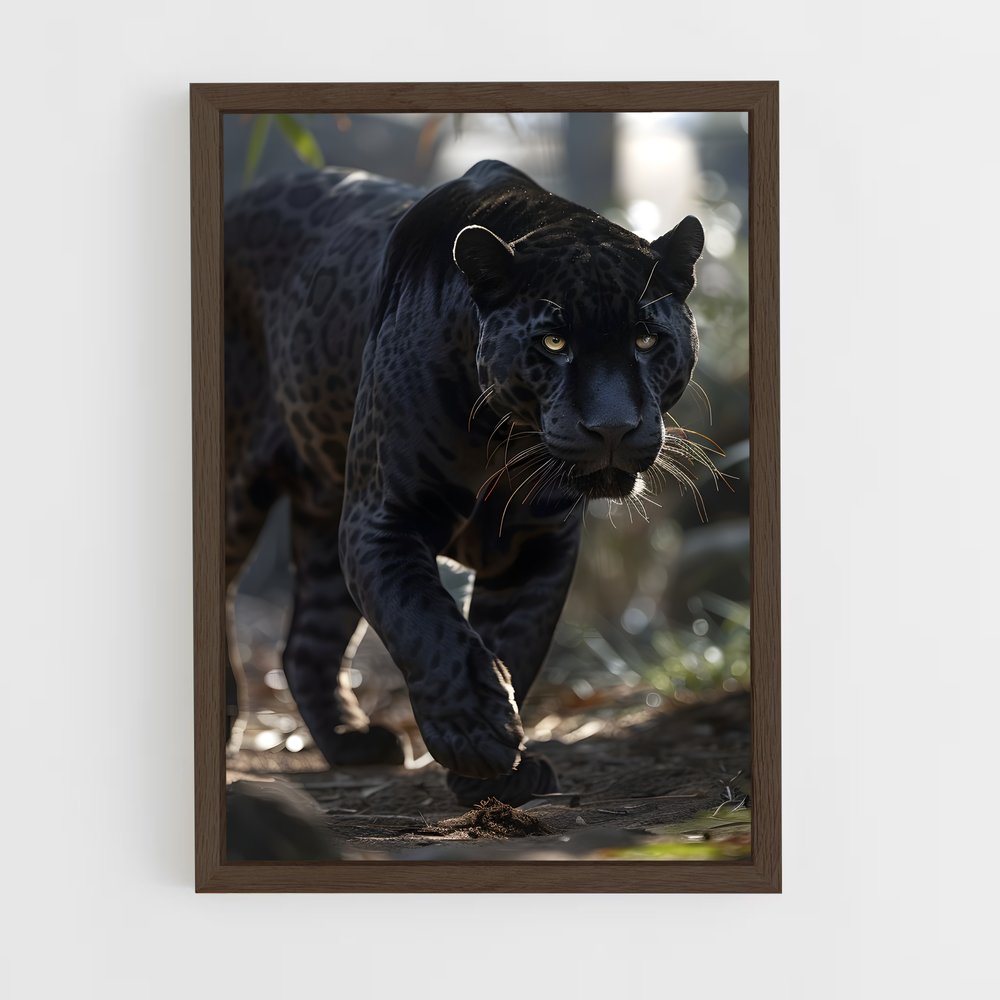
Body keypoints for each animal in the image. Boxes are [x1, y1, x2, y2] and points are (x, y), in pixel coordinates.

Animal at [223, 159, 704, 806]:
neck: (503, 443)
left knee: (307, 644)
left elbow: (515, 639)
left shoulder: (537, 544)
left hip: (324, 522)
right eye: (554, 342)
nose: (612, 427)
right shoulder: (384, 518)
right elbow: (423, 620)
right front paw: (474, 732)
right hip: (237, 493)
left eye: (646, 339)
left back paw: (353, 744)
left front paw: (498, 771)